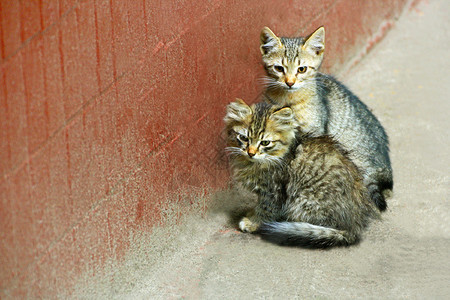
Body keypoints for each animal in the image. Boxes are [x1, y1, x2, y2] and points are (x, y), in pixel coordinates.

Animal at [225, 99, 380, 247]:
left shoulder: (273, 191)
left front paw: (253, 222)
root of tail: (354, 227)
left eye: (265, 143)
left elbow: (265, 209)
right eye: (244, 138)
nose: (251, 153)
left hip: (302, 202)